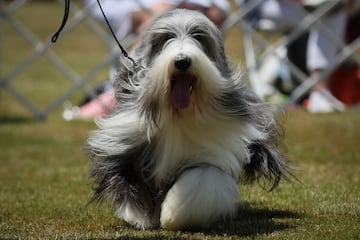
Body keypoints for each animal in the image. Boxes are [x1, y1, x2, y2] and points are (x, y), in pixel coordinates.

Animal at [87, 9, 290, 231]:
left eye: (199, 36)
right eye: (166, 38)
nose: (182, 60)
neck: (179, 115)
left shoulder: (210, 154)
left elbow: (200, 181)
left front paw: (173, 217)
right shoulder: (127, 148)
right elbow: (131, 183)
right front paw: (141, 218)